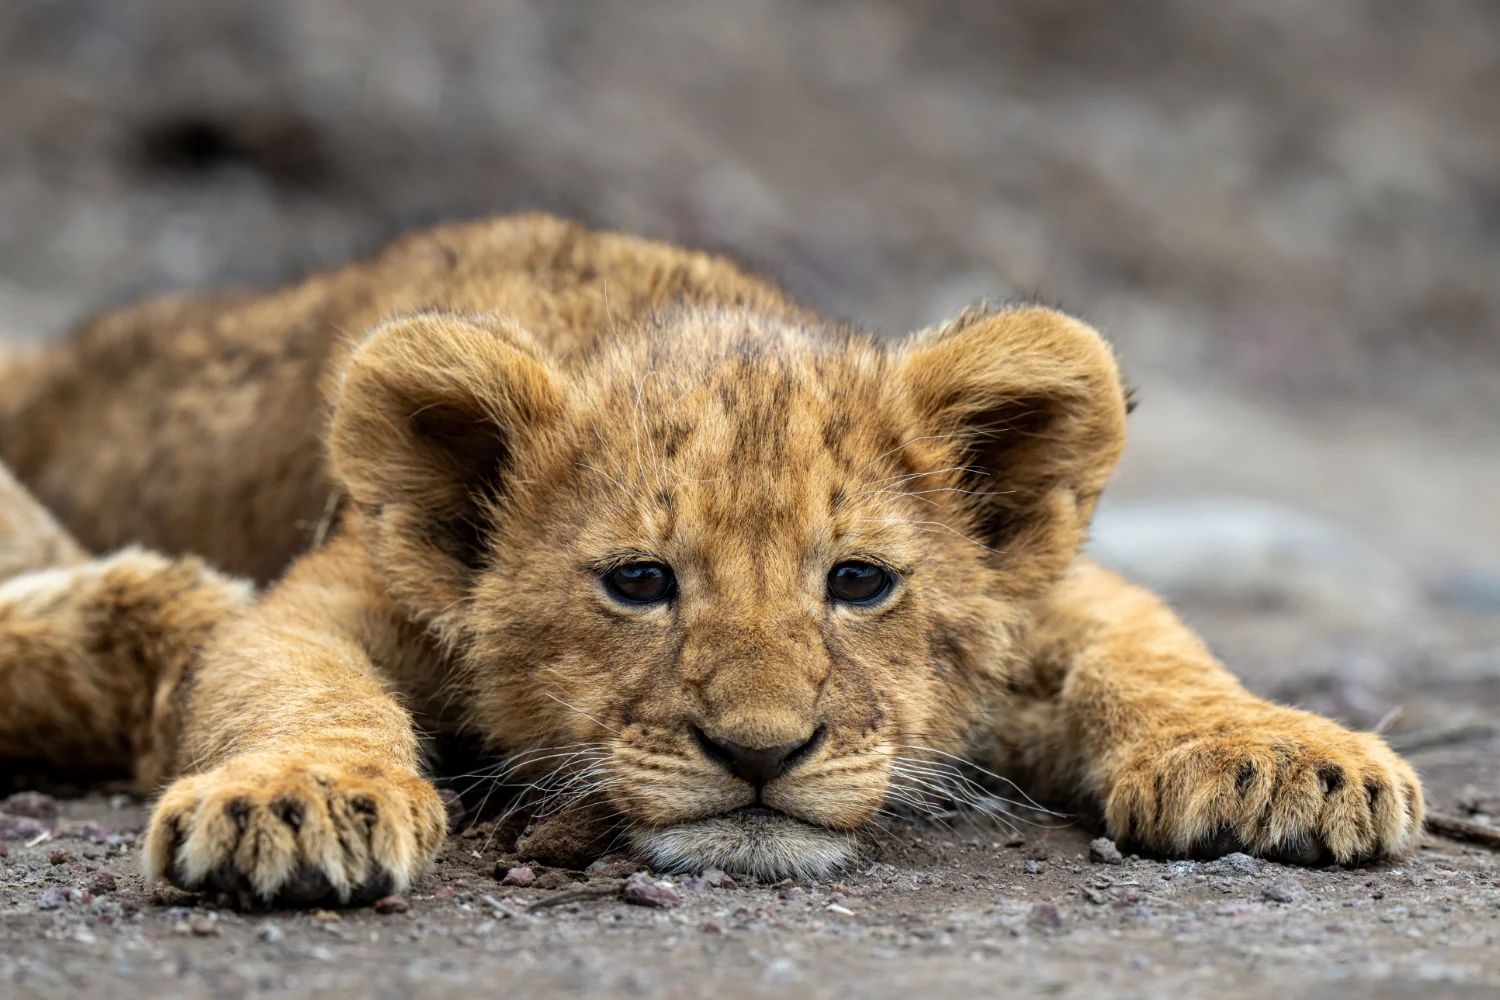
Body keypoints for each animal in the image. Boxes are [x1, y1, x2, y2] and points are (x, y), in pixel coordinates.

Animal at [0, 214, 1423, 905]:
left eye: (858, 581)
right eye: (640, 582)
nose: (758, 754)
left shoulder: (1049, 590)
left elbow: (1153, 647)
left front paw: (1279, 758)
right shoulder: (336, 587)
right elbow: (289, 680)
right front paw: (295, 802)